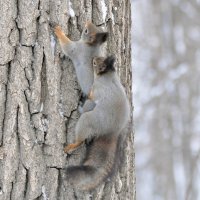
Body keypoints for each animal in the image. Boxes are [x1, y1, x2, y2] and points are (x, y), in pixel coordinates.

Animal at [63, 55, 130, 190]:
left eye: (95, 63)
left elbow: (91, 94)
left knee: (80, 139)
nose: (93, 57)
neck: (108, 75)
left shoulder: (97, 89)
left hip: (89, 120)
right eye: (100, 58)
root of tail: (112, 132)